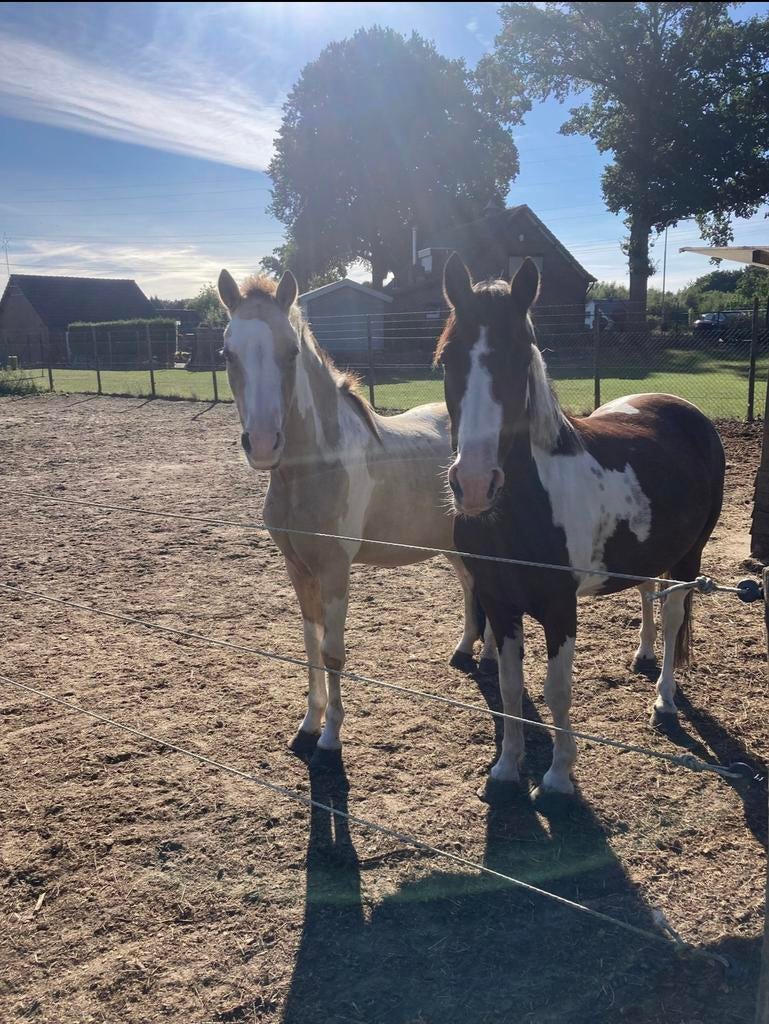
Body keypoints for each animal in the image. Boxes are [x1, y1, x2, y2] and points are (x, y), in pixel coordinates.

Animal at [217, 267, 496, 766]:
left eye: (290, 351)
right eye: (228, 353)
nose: (264, 444)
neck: (314, 467)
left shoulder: (335, 570)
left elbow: (332, 652)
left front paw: (330, 738)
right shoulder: (298, 568)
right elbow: (310, 644)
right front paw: (307, 726)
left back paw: (488, 661)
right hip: (449, 543)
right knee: (470, 585)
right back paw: (465, 651)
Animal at [435, 253, 725, 801]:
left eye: (519, 357)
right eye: (446, 360)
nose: (476, 484)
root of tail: (684, 408)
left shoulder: (559, 607)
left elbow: (557, 690)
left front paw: (558, 776)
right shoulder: (499, 602)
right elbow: (509, 685)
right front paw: (506, 768)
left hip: (687, 557)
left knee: (673, 613)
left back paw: (664, 701)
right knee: (646, 592)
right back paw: (642, 655)